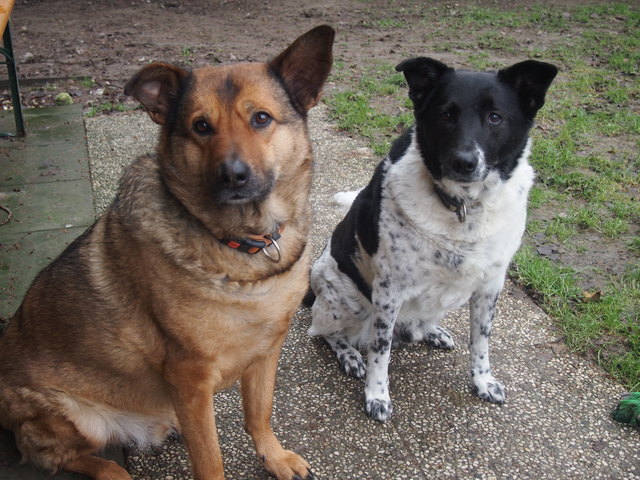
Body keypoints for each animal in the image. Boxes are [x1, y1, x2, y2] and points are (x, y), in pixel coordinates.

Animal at [0, 25, 332, 480]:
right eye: (201, 126)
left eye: (261, 118)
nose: (232, 175)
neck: (241, 246)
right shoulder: (189, 377)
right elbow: (209, 459)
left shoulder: (266, 352)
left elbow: (258, 412)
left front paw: (274, 456)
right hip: (74, 417)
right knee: (57, 455)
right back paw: (114, 471)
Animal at [304, 59, 556, 420]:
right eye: (445, 115)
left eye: (495, 117)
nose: (464, 162)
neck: (463, 207)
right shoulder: (389, 291)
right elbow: (380, 352)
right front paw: (377, 396)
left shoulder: (490, 285)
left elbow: (481, 341)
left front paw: (483, 381)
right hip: (344, 298)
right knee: (325, 331)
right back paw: (349, 355)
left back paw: (432, 331)